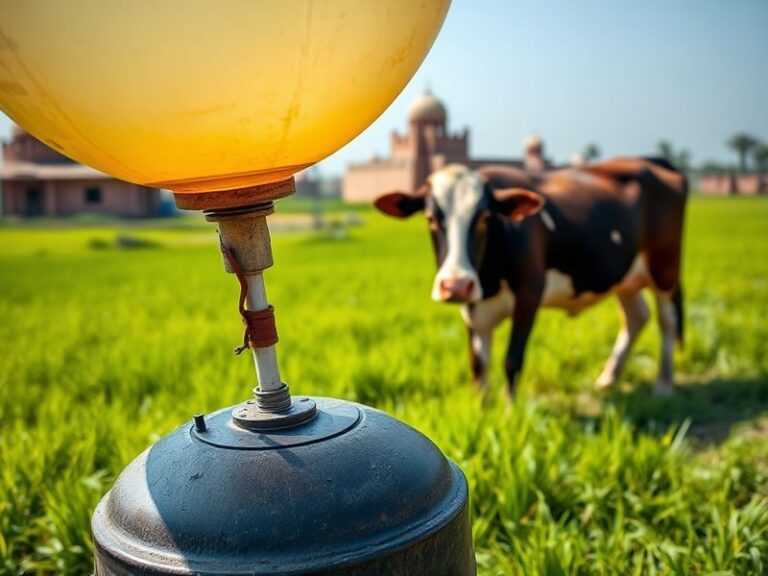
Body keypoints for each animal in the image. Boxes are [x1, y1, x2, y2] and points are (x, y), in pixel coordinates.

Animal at [374, 158, 687, 396]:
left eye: (485, 217)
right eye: (430, 218)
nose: (456, 285)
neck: (489, 278)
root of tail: (650, 162)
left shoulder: (529, 293)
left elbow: (512, 360)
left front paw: (508, 416)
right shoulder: (473, 307)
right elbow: (478, 366)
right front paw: (481, 412)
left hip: (665, 268)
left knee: (667, 321)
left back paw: (664, 384)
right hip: (624, 277)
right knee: (637, 317)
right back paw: (608, 378)